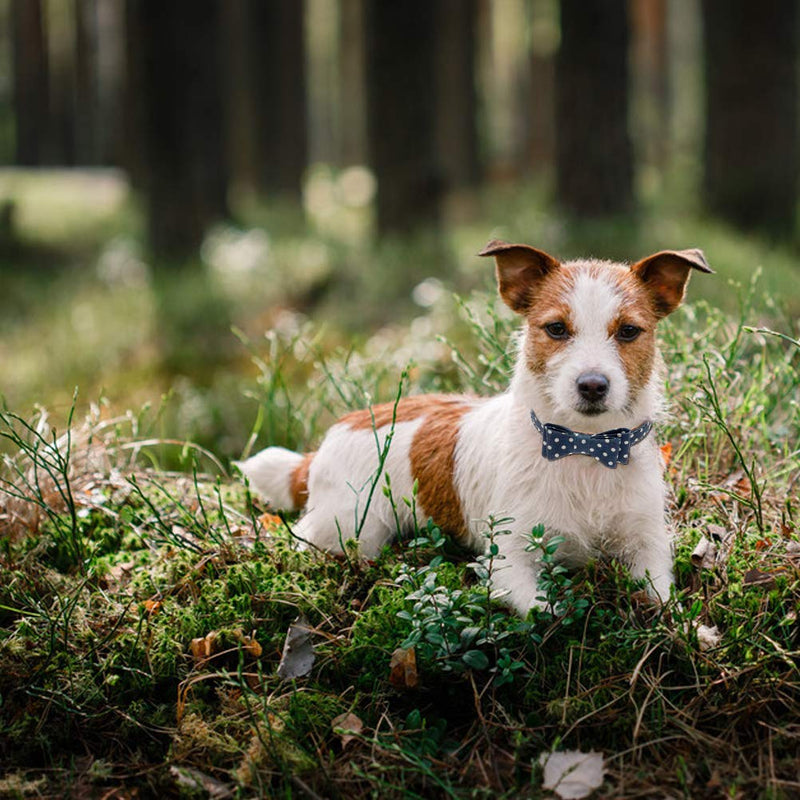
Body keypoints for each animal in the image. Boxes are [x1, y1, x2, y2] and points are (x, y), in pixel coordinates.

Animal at [239, 241, 712, 616]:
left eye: (629, 331)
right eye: (556, 328)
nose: (593, 385)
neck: (584, 446)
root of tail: (330, 439)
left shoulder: (647, 546)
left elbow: (664, 599)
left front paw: (693, 634)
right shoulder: (509, 560)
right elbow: (547, 613)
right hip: (353, 527)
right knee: (307, 537)